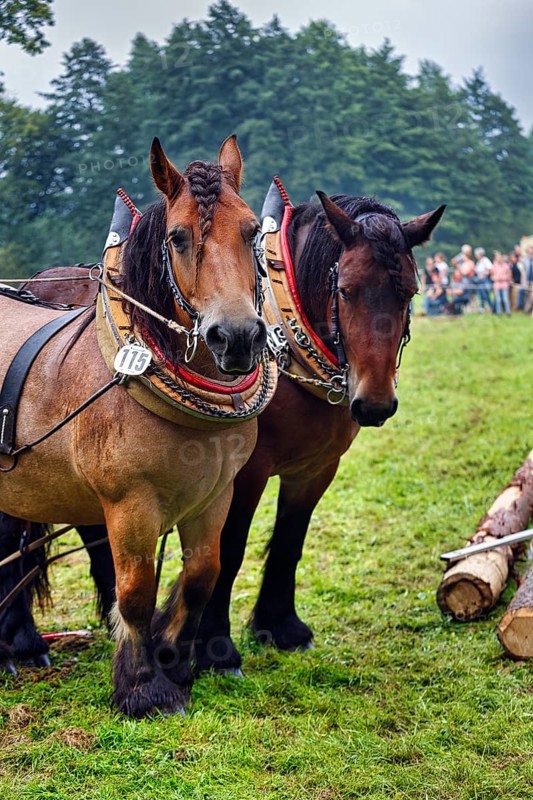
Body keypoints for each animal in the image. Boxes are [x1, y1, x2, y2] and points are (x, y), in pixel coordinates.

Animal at [0, 135, 277, 717]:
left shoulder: (215, 494)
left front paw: (175, 659)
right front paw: (144, 687)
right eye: (177, 237)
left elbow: (202, 576)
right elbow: (135, 592)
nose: (238, 337)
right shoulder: (128, 504)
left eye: (250, 231)